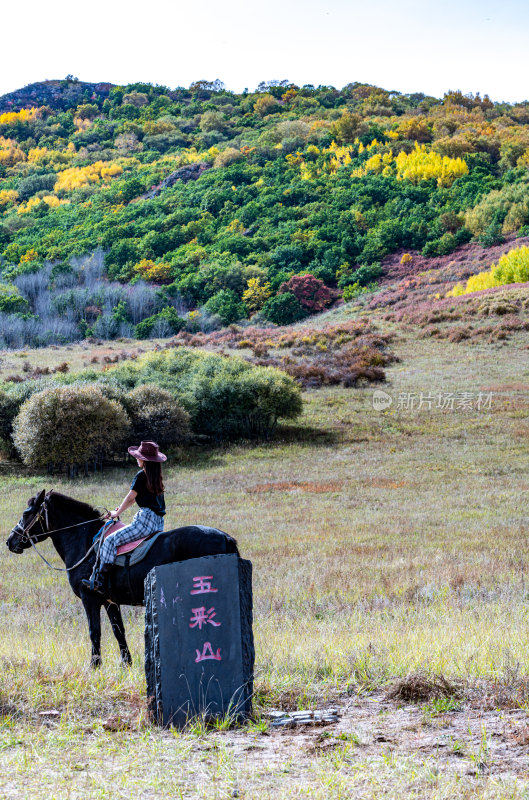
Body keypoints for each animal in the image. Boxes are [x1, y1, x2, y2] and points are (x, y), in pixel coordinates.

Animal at [5, 488, 240, 668]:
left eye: (26, 513)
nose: (10, 541)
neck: (85, 542)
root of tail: (225, 537)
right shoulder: (111, 602)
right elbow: (119, 632)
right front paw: (126, 664)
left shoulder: (90, 599)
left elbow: (95, 632)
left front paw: (94, 666)